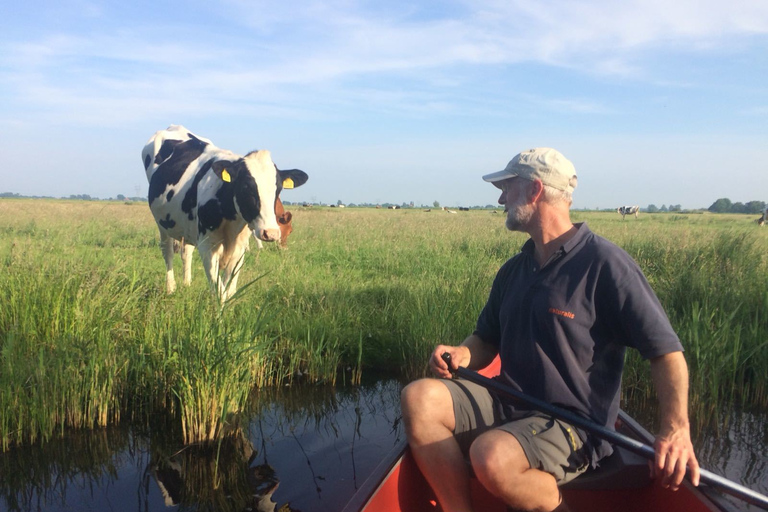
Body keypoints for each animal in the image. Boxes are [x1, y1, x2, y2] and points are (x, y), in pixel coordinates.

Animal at [142, 125, 308, 300]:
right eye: (246, 187)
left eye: (278, 189)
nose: (271, 233)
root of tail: (174, 127)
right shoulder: (207, 246)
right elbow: (220, 291)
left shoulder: (240, 247)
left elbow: (230, 288)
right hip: (163, 225)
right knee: (167, 252)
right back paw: (170, 288)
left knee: (186, 252)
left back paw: (186, 284)